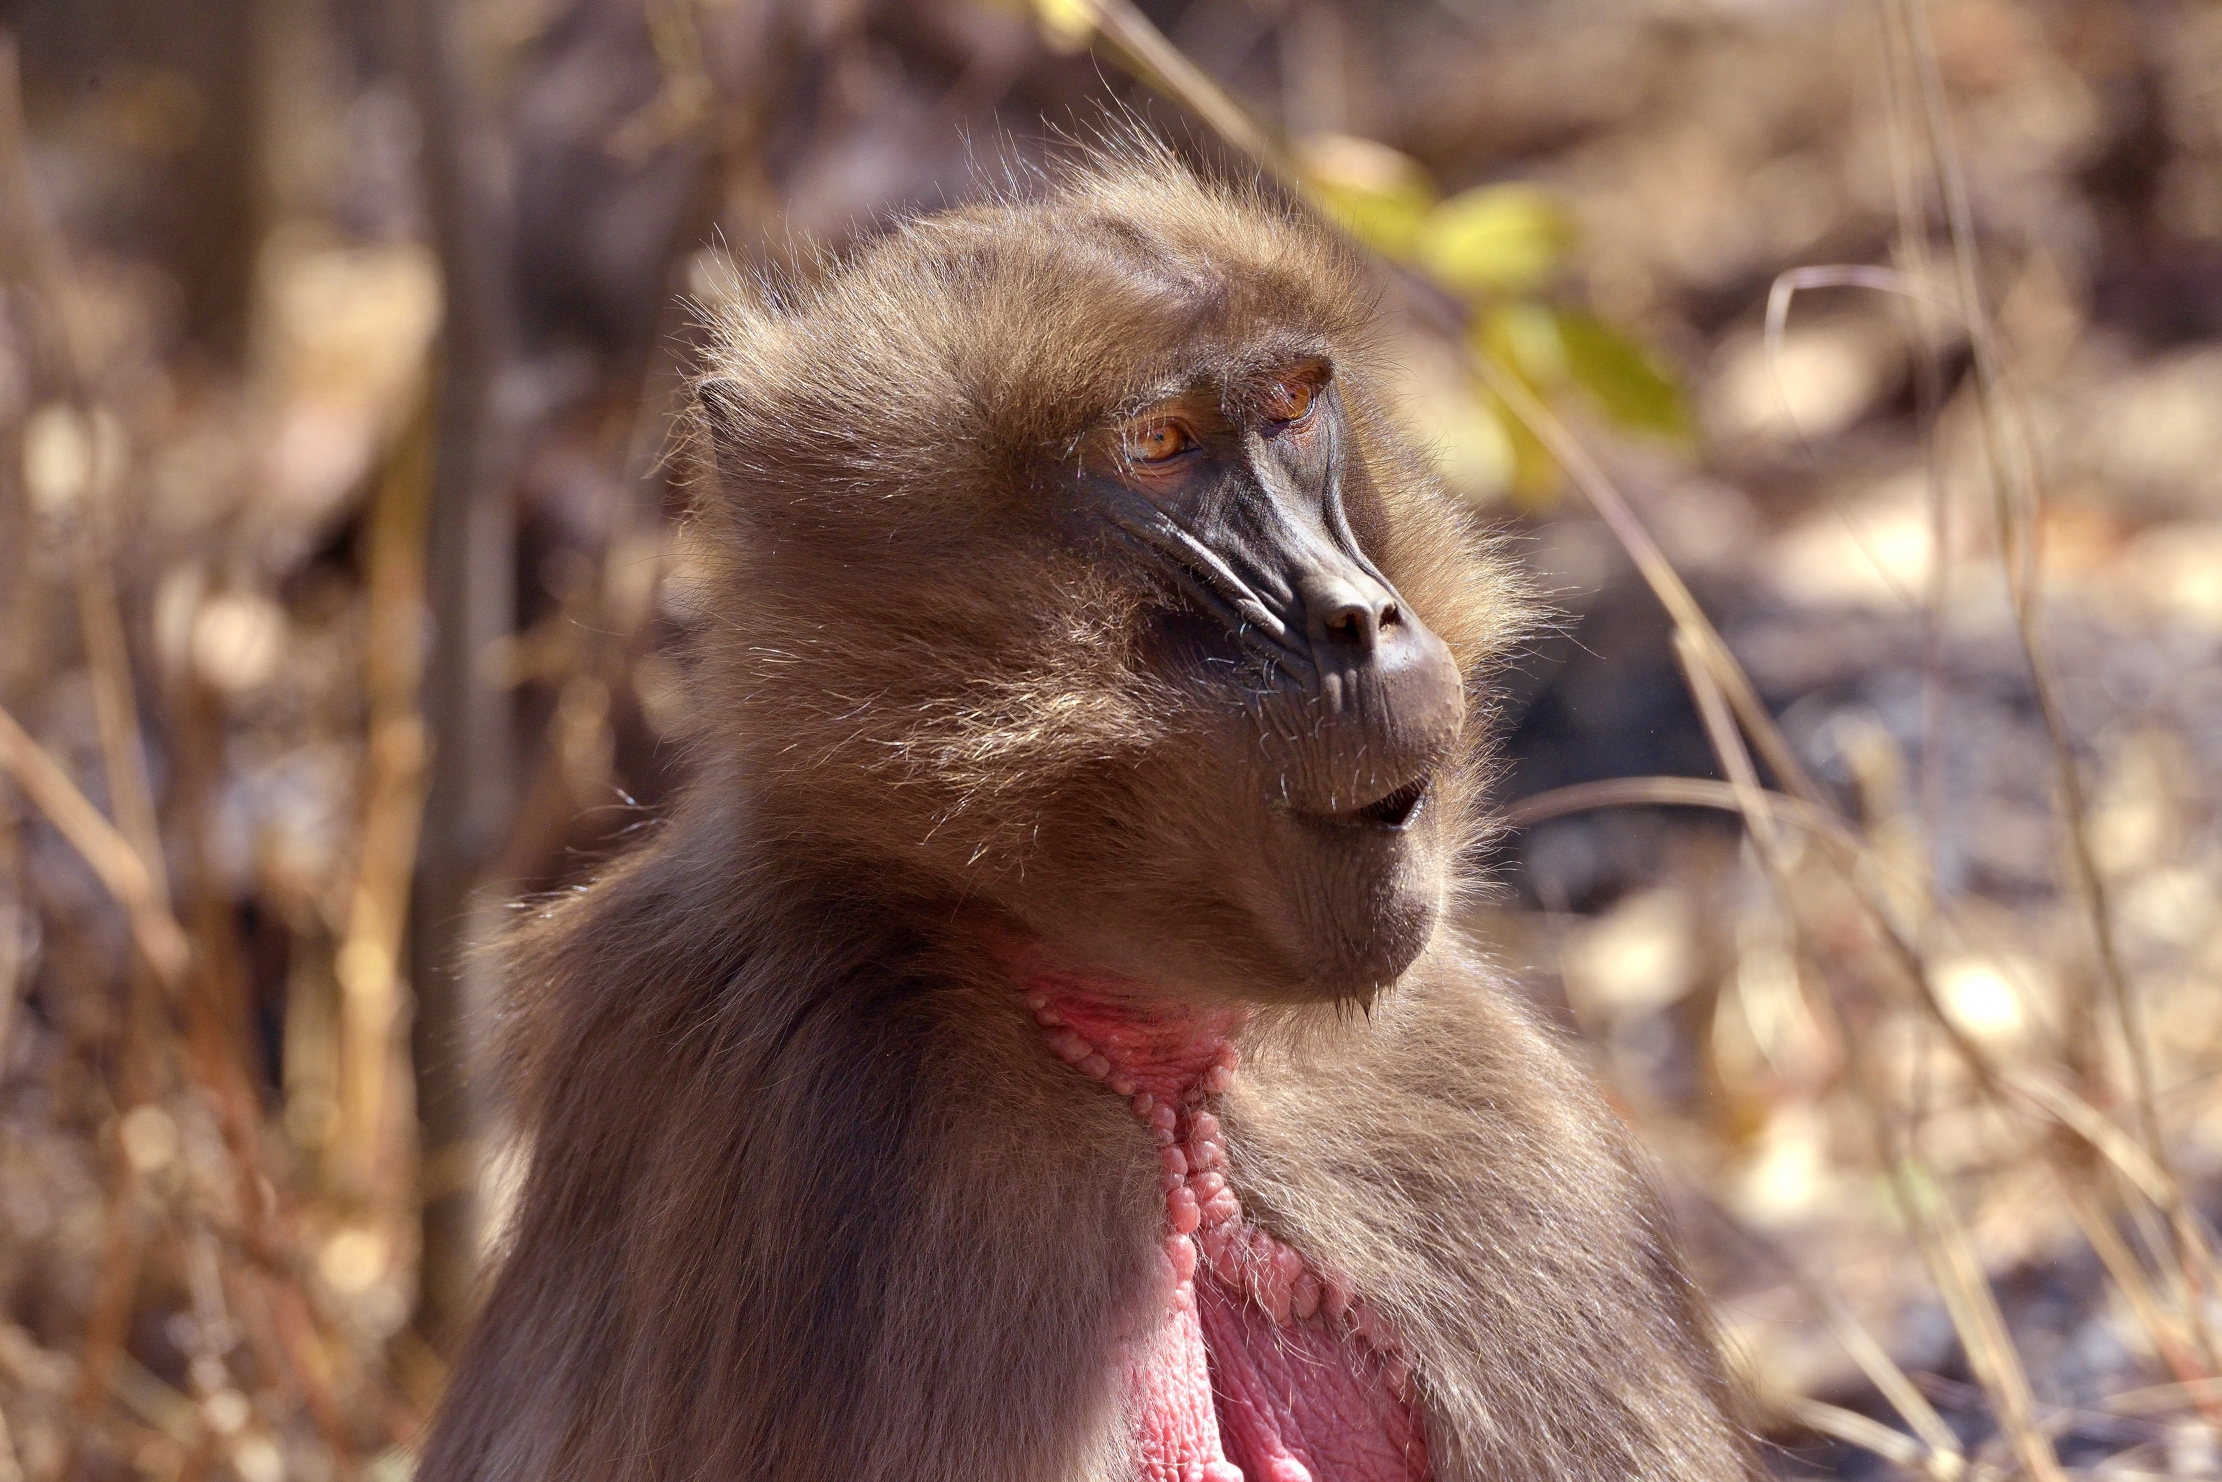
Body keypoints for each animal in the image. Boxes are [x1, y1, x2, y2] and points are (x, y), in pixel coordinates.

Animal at [416, 139, 1761, 1482]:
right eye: (1157, 442)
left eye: (1291, 409)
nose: (1360, 615)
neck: (1165, 1076)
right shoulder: (818, 1117)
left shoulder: (1473, 1100)